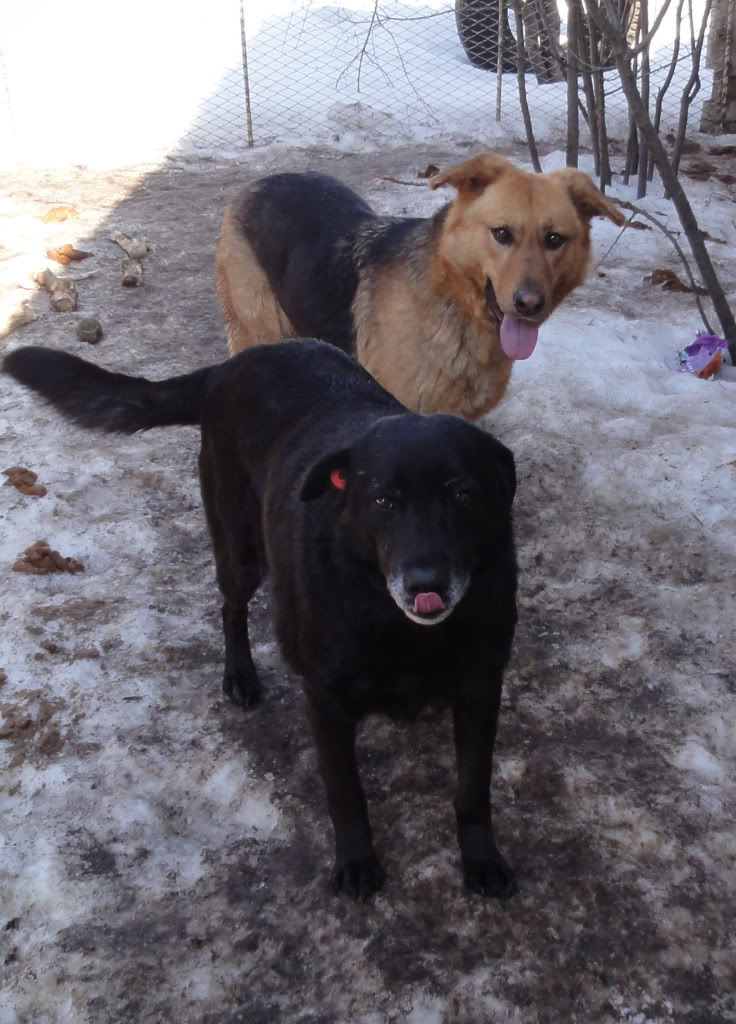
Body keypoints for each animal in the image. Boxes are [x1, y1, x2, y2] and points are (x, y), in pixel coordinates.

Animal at [7, 339, 524, 901]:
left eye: (463, 495)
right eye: (383, 499)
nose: (425, 583)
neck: (398, 626)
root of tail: (226, 368)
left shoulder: (479, 689)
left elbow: (473, 789)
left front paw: (482, 859)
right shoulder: (326, 702)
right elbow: (346, 793)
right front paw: (357, 861)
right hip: (239, 551)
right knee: (231, 609)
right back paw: (240, 676)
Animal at [215, 153, 626, 417]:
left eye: (555, 240)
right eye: (502, 234)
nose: (528, 304)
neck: (452, 302)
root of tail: (258, 183)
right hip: (259, 327)